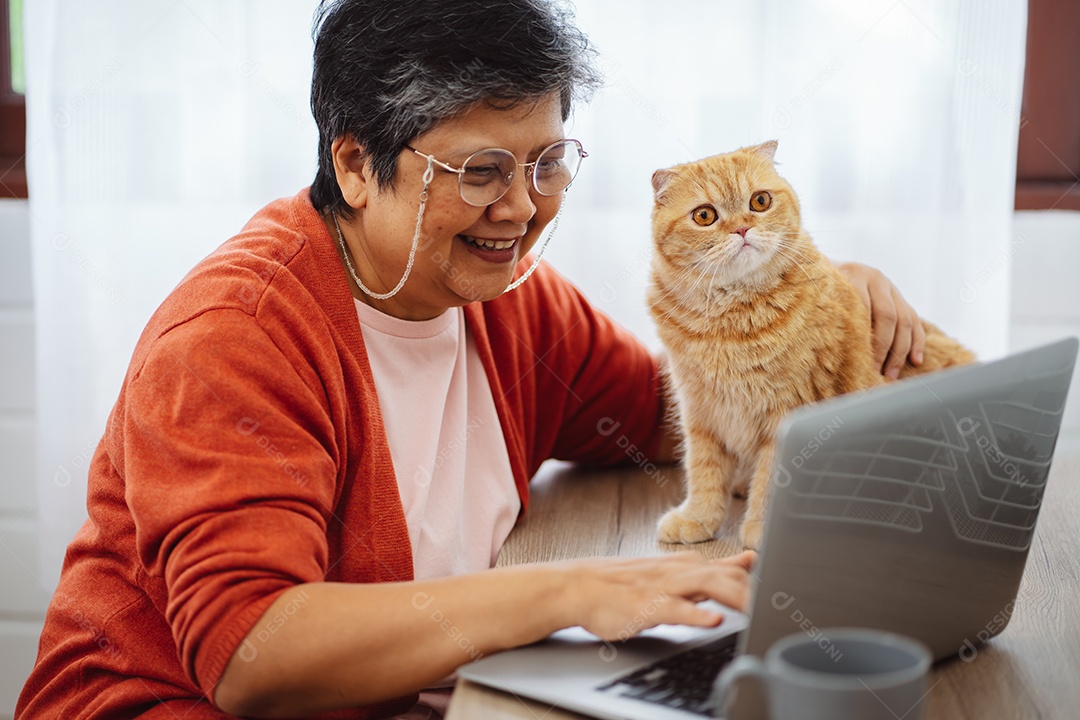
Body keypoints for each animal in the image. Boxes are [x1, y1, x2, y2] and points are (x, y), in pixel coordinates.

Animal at [648, 140, 980, 548]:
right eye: (705, 215)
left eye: (760, 201)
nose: (742, 228)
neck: (730, 322)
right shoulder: (701, 413)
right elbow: (704, 472)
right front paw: (698, 518)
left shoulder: (789, 412)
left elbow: (772, 478)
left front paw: (763, 531)